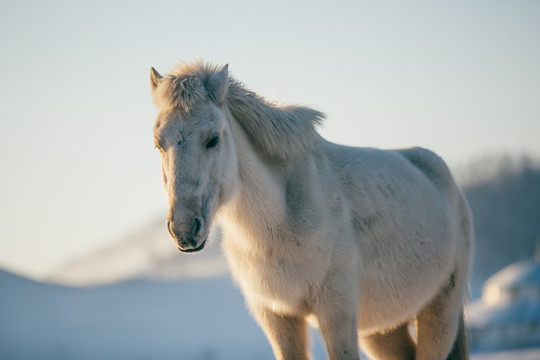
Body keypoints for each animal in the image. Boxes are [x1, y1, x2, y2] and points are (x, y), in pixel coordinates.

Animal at [149, 61, 472, 360]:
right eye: (159, 144)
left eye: (213, 139)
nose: (184, 229)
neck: (279, 221)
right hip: (383, 329)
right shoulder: (277, 316)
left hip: (440, 312)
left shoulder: (337, 313)